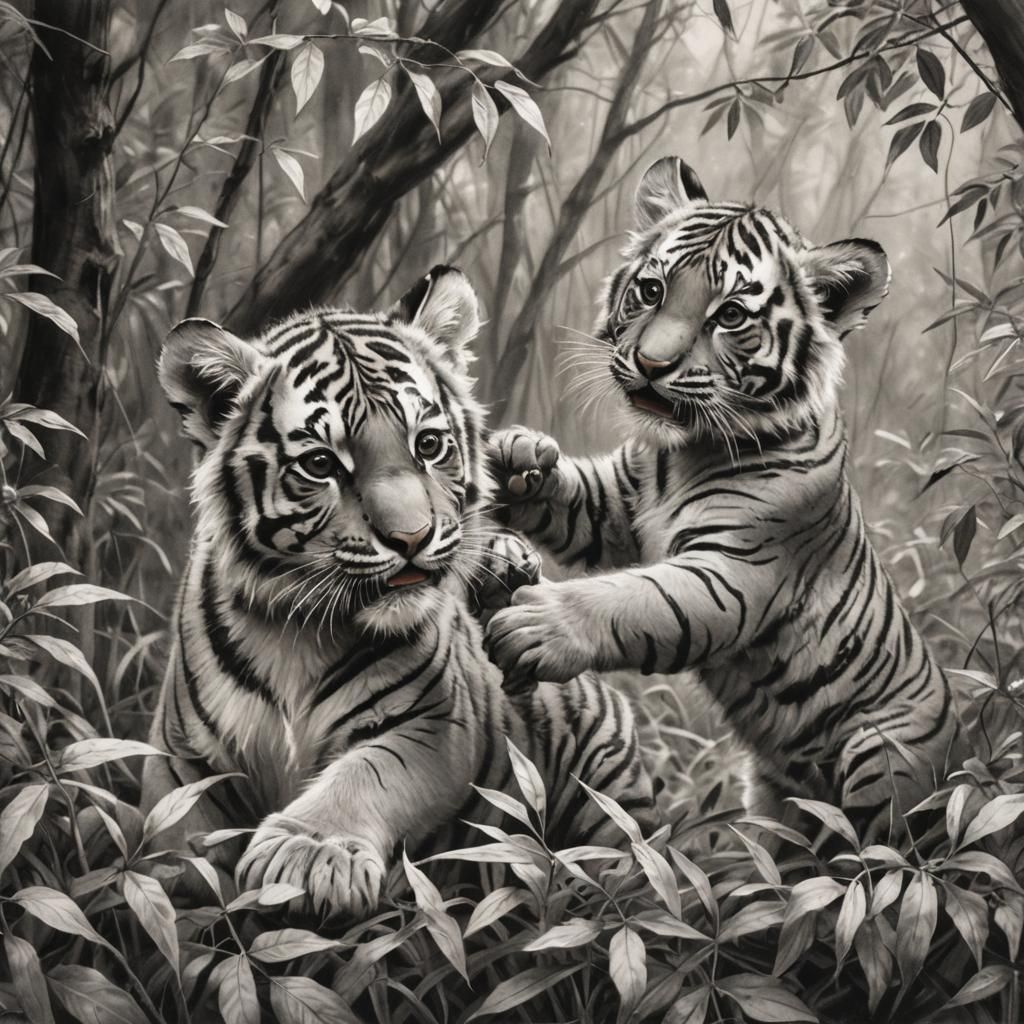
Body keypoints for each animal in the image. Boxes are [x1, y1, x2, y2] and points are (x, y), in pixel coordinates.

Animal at [141, 265, 657, 919]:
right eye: (320, 464)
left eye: (428, 445)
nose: (412, 538)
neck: (291, 631)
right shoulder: (185, 757)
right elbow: (178, 841)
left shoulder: (432, 725)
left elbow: (367, 775)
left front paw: (309, 856)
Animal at [485, 156, 965, 842]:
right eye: (651, 290)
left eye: (731, 315)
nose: (650, 364)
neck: (682, 453)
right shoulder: (616, 505)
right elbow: (573, 498)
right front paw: (518, 456)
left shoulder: (737, 571)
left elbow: (636, 597)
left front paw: (538, 623)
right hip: (776, 805)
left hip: (885, 767)